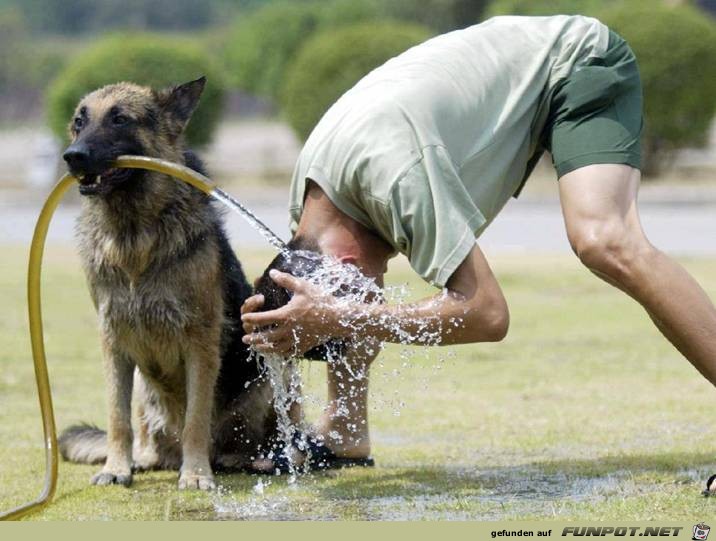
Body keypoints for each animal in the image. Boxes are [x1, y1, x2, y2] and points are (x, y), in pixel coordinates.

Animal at [58, 77, 280, 490]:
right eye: (80, 122)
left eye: (120, 119)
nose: (72, 156)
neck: (133, 236)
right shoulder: (113, 342)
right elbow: (117, 418)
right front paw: (116, 468)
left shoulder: (200, 343)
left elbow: (196, 419)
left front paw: (195, 474)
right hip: (144, 390)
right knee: (146, 436)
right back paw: (144, 460)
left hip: (269, 373)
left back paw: (246, 459)